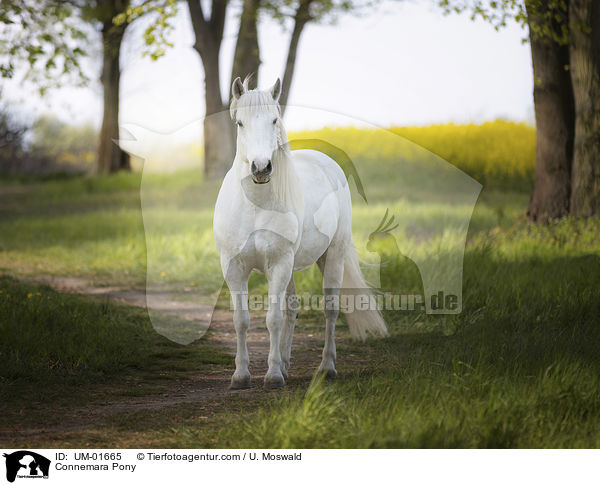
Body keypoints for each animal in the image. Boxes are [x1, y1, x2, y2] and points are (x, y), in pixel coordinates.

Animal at [213, 77, 386, 388]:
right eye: (240, 123)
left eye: (274, 120)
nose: (261, 168)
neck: (255, 205)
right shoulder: (233, 267)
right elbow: (241, 319)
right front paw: (241, 375)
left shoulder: (279, 264)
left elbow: (272, 319)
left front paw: (272, 376)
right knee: (292, 308)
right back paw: (285, 363)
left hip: (332, 256)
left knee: (330, 309)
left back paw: (326, 367)